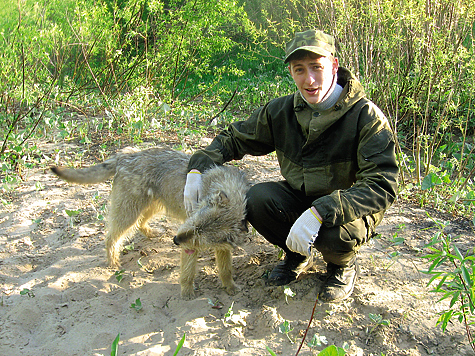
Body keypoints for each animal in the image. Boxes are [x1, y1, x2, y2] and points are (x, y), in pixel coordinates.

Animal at [50, 146, 251, 298]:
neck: (227, 188)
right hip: (129, 211)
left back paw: (150, 232)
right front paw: (186, 292)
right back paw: (113, 262)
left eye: (201, 239)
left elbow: (226, 269)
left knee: (140, 223)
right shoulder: (188, 242)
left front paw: (230, 286)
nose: (175, 240)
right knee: (111, 237)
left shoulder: (219, 246)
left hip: (152, 205)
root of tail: (124, 156)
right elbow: (188, 272)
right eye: (194, 223)